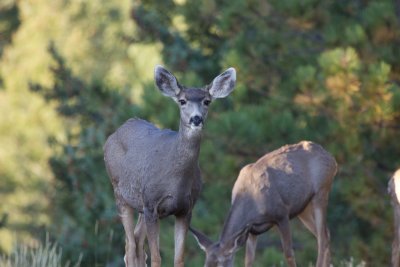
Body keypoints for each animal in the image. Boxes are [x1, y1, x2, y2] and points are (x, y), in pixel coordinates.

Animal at [103, 65, 236, 267]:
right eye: (182, 101)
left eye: (207, 101)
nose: (196, 119)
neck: (176, 180)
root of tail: (113, 135)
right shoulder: (152, 204)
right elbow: (157, 258)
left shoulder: (185, 209)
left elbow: (179, 259)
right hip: (120, 193)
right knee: (131, 247)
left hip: (141, 205)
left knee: (136, 243)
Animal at [191, 141, 338, 266]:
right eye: (205, 265)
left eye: (220, 264)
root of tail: (332, 159)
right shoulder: (251, 230)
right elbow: (248, 260)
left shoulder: (282, 214)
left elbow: (288, 253)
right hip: (303, 208)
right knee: (325, 233)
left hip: (321, 191)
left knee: (323, 238)